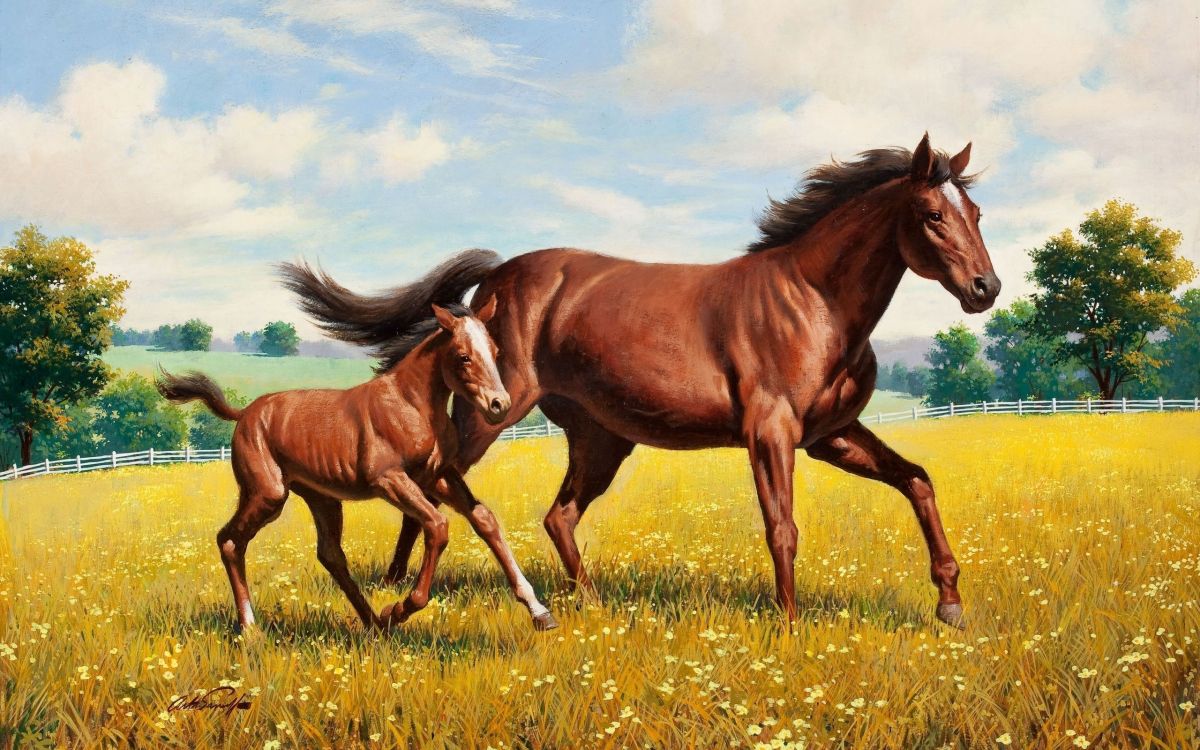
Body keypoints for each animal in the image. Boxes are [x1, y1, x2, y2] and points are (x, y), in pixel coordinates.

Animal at [156, 298, 558, 633]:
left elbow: (484, 519)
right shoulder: (390, 480)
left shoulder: (438, 477)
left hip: (322, 498)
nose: (499, 405)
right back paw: (251, 627)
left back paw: (372, 623)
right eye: (462, 356)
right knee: (229, 541)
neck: (411, 405)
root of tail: (245, 414)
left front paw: (539, 611)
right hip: (267, 494)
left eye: (494, 351)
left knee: (330, 555)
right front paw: (400, 608)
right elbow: (437, 526)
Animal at [281, 134, 1000, 628]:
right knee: (443, 477)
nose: (985, 289)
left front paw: (950, 602)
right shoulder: (772, 435)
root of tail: (496, 279)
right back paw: (400, 592)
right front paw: (790, 626)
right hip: (495, 410)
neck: (813, 302)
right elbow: (783, 527)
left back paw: (584, 604)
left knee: (557, 515)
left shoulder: (833, 435)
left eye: (977, 212)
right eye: (932, 214)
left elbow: (917, 481)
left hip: (601, 439)